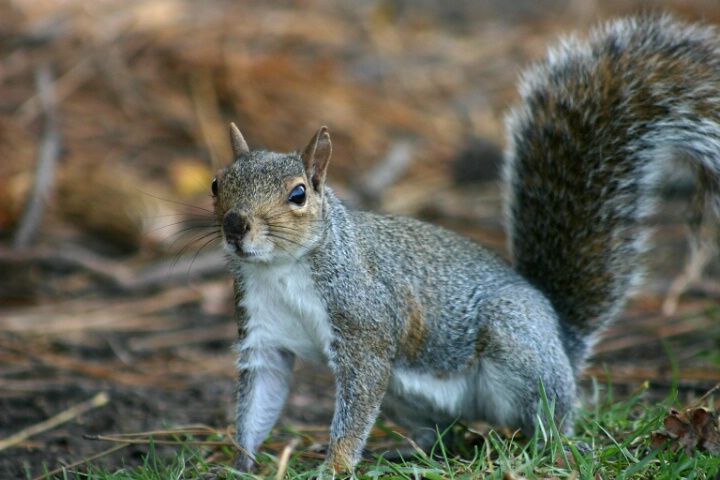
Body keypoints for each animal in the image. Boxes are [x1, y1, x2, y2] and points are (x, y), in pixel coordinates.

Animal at [211, 14, 720, 472]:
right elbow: (259, 400)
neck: (282, 268)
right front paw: (240, 464)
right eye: (218, 183)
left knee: (550, 415)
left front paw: (334, 465)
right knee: (445, 436)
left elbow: (356, 403)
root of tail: (561, 335)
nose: (235, 226)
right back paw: (408, 454)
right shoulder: (263, 335)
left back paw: (546, 447)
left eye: (298, 195)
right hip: (406, 398)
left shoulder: (364, 325)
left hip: (516, 342)